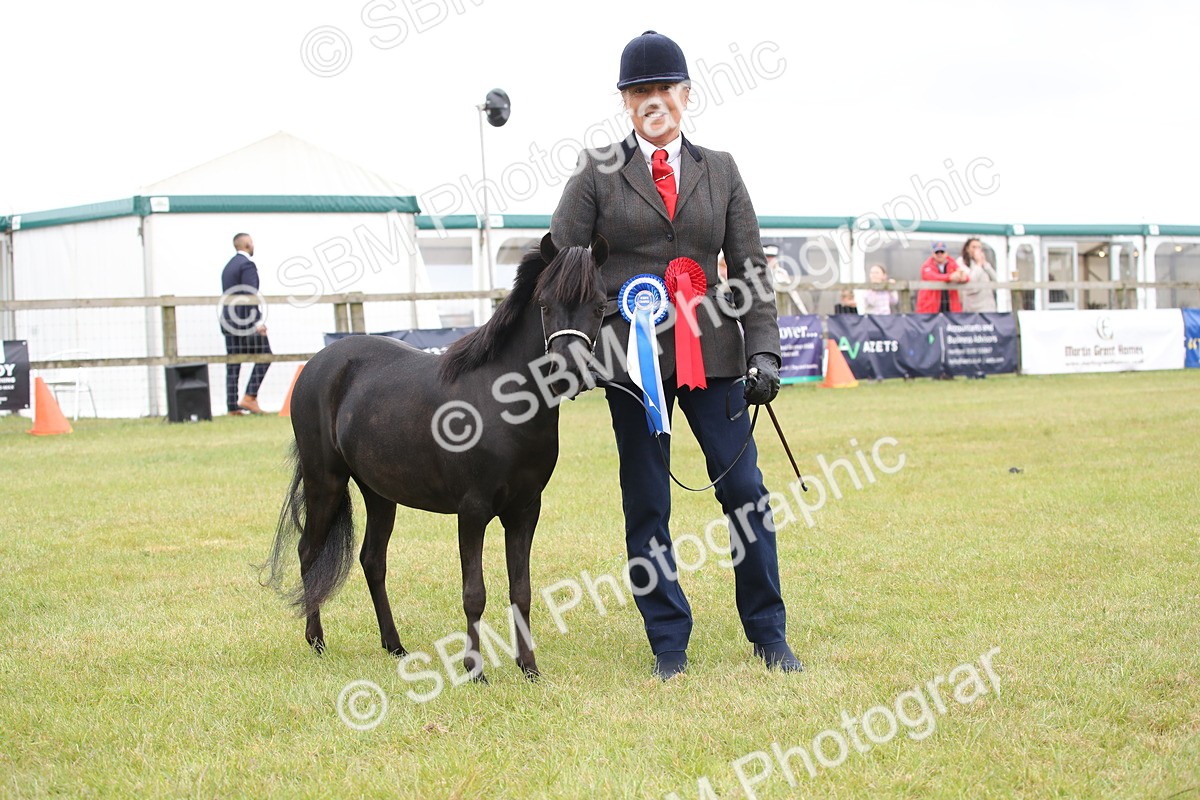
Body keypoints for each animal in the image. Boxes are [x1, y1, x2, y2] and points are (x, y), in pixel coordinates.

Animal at [262, 233, 608, 682]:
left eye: (600, 305)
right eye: (545, 305)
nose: (570, 373)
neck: (501, 402)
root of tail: (318, 363)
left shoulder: (524, 511)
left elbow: (522, 590)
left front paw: (529, 667)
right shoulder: (473, 510)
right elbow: (474, 593)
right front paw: (474, 670)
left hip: (379, 494)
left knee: (372, 560)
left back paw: (394, 646)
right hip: (326, 482)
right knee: (309, 552)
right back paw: (316, 641)